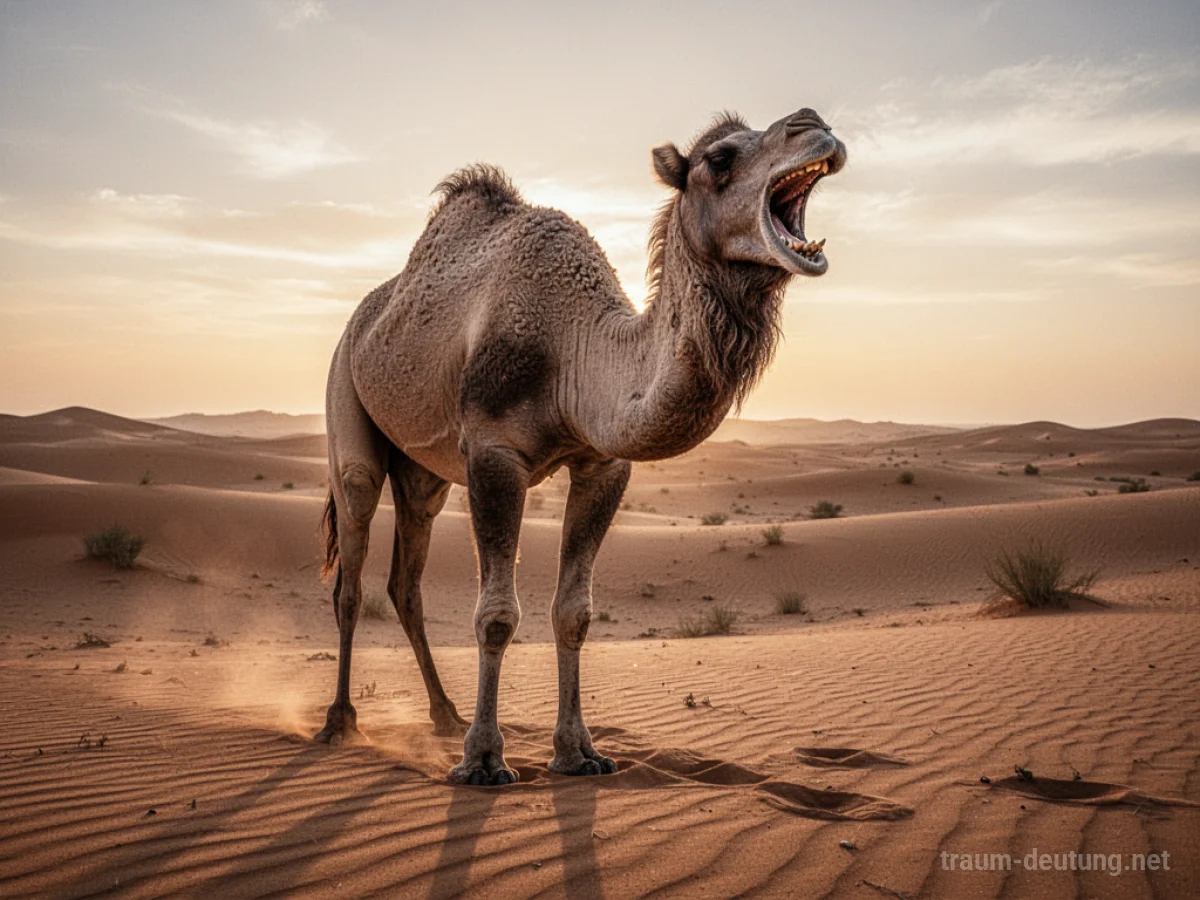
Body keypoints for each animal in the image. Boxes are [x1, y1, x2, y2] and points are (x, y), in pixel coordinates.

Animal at [316, 107, 847, 785]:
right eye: (720, 158)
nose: (812, 122)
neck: (573, 351)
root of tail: (361, 320)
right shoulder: (494, 453)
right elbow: (496, 614)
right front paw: (484, 760)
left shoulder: (603, 463)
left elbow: (574, 611)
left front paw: (579, 752)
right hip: (346, 401)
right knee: (351, 565)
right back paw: (341, 722)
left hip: (423, 472)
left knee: (405, 581)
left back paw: (444, 714)